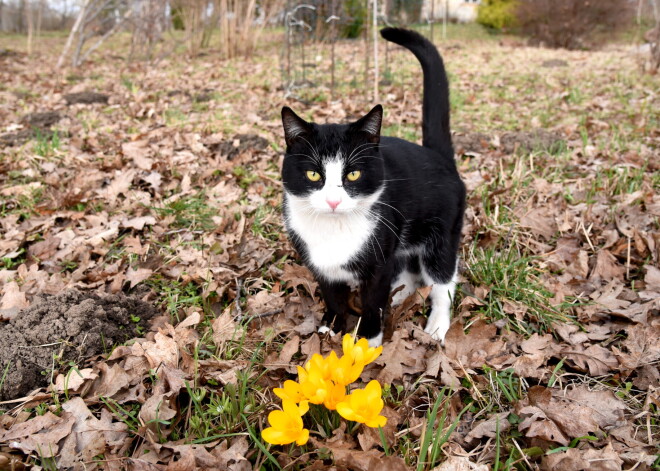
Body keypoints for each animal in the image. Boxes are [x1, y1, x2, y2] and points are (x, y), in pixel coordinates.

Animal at [278, 27, 464, 348]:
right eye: (314, 175)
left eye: (353, 174)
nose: (333, 201)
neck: (334, 231)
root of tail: (438, 155)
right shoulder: (320, 263)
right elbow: (333, 295)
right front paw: (331, 327)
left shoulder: (378, 257)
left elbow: (372, 299)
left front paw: (367, 339)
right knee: (408, 269)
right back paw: (401, 296)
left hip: (442, 232)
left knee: (442, 279)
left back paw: (436, 325)